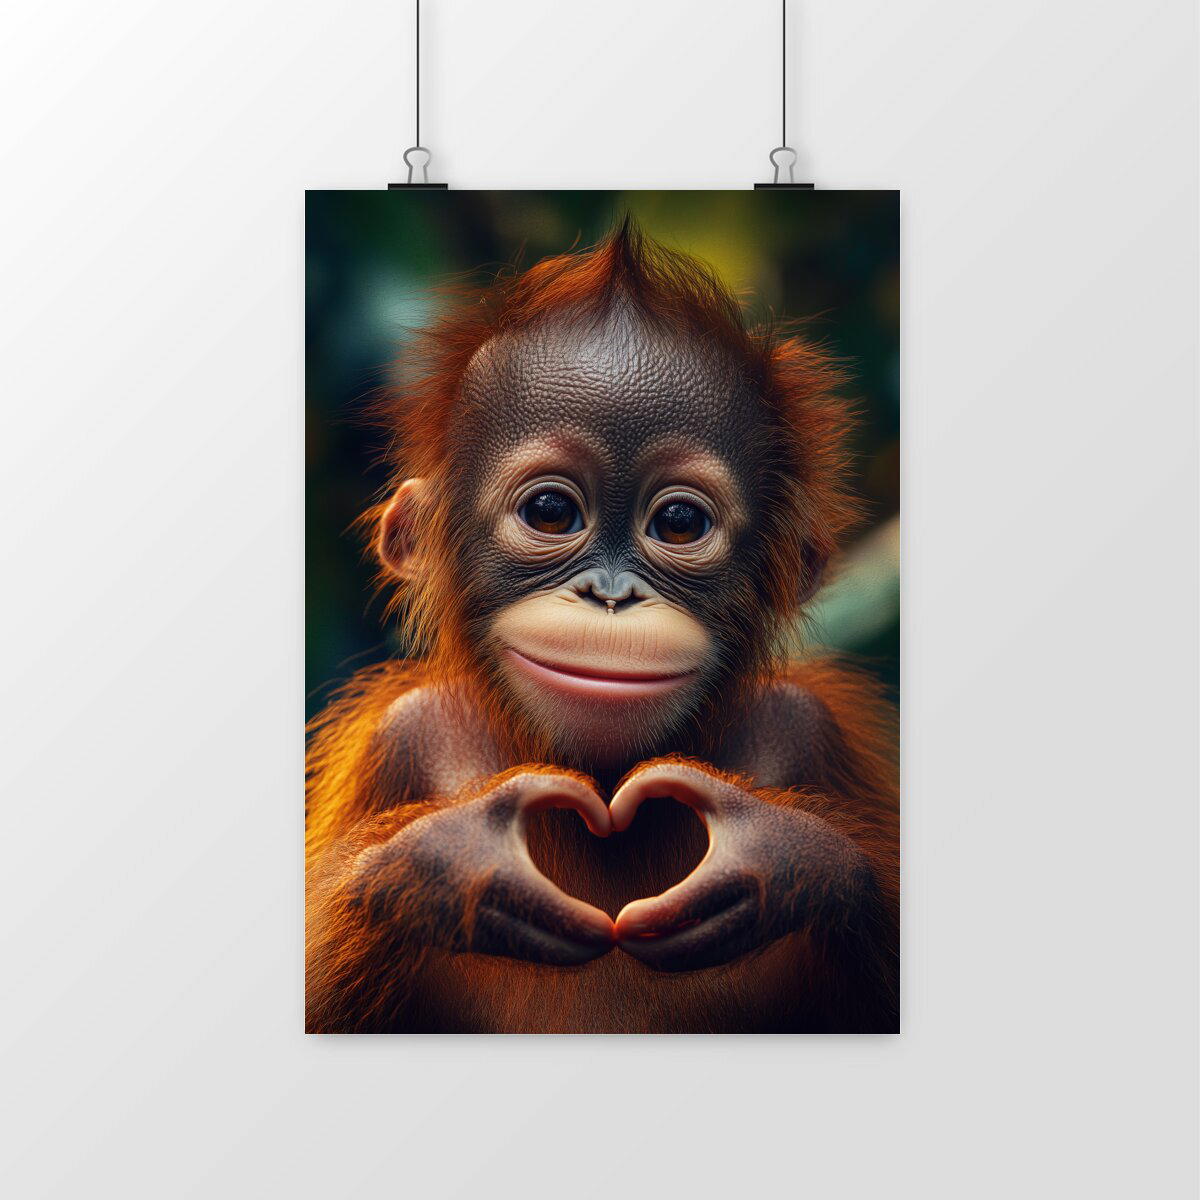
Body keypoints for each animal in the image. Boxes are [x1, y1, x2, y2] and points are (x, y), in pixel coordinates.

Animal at [306, 220, 898, 1033]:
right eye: (552, 511)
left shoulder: (811, 727)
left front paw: (787, 858)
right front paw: (448, 863)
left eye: (679, 522)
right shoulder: (396, 738)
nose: (610, 595)